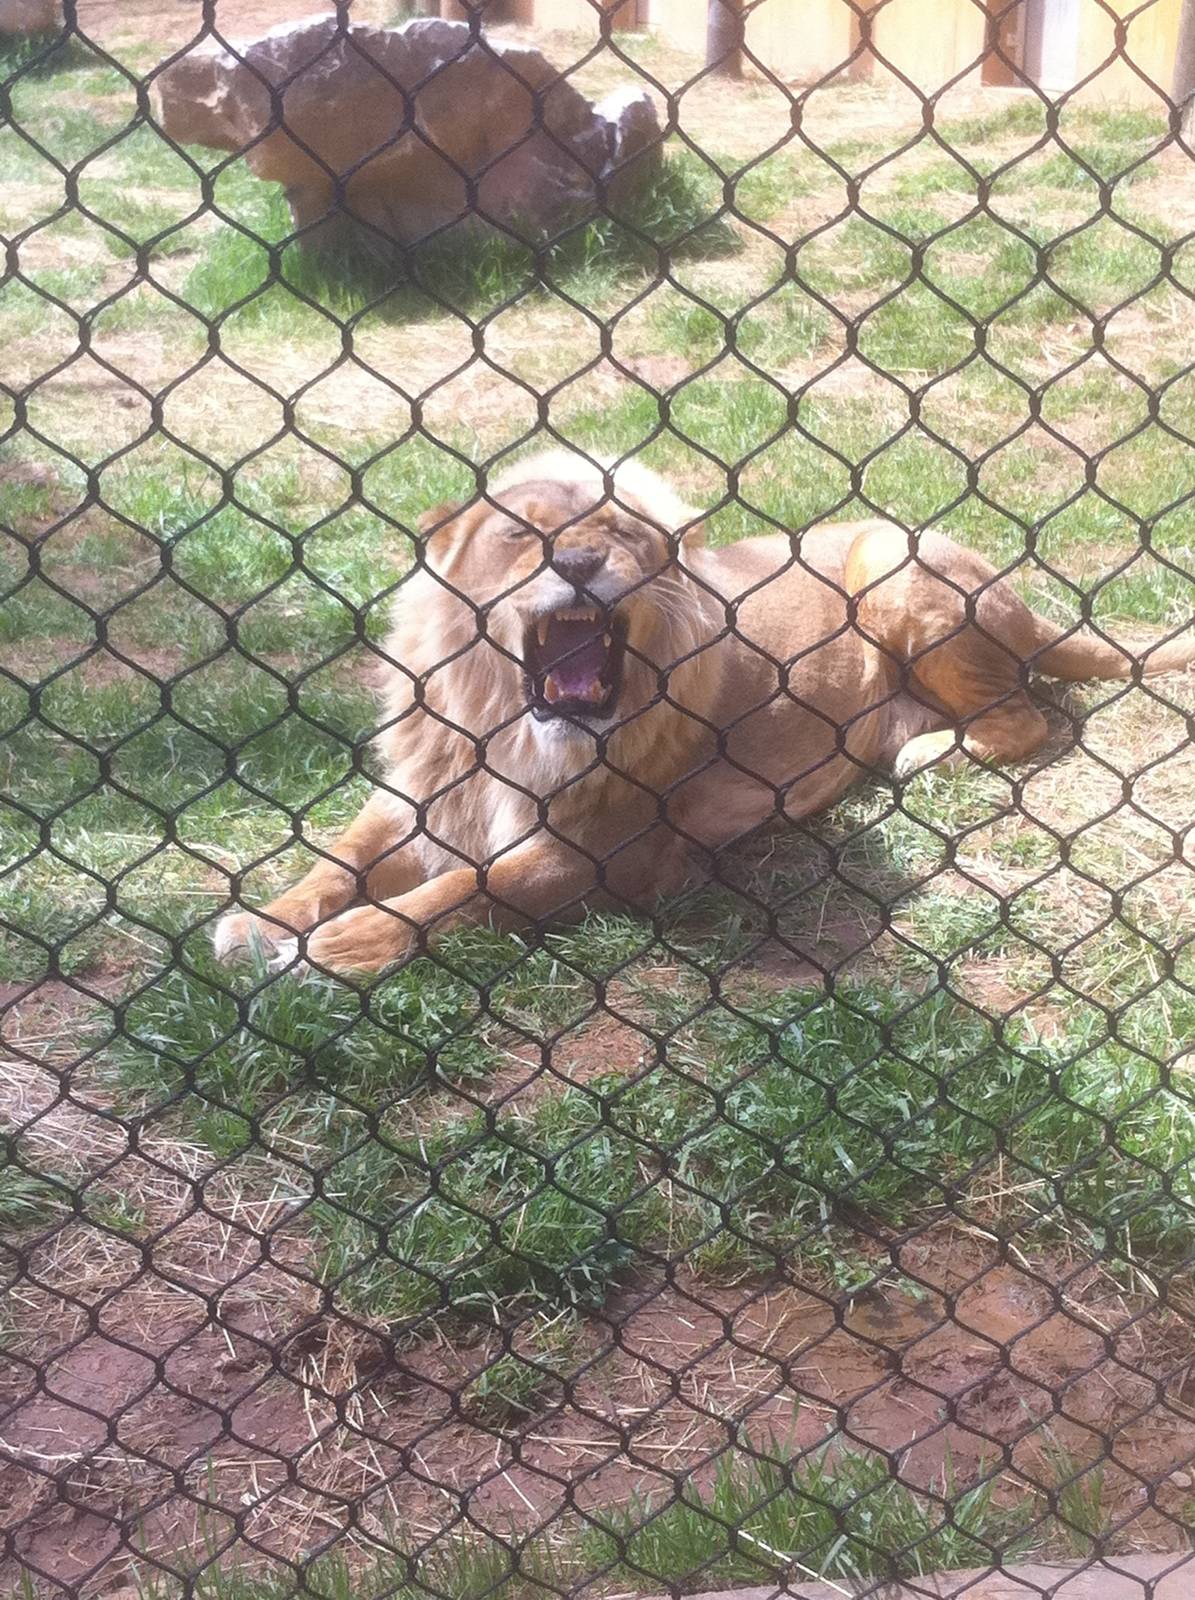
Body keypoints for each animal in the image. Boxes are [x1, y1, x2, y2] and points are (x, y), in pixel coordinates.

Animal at [213, 451, 1194, 973]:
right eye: (520, 533)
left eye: (620, 531)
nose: (577, 562)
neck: (501, 723)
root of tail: (1018, 596)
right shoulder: (418, 792)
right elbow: (337, 856)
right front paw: (262, 921)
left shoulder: (612, 854)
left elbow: (466, 890)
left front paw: (338, 947)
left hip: (890, 557)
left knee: (1030, 719)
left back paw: (924, 755)